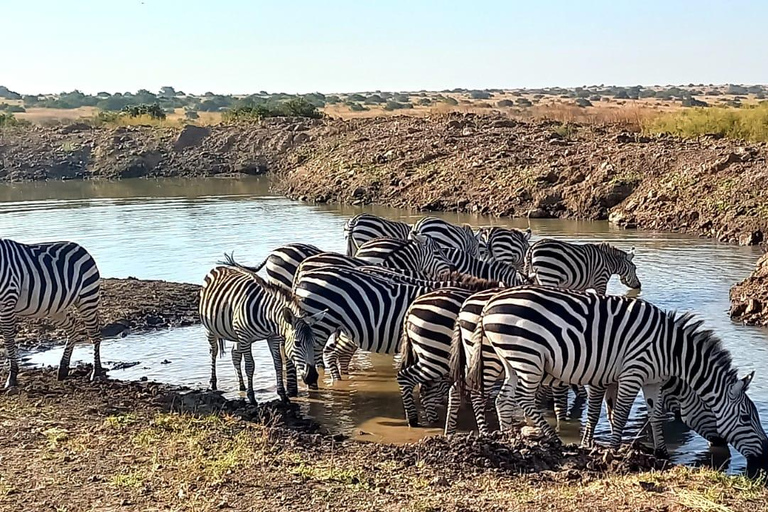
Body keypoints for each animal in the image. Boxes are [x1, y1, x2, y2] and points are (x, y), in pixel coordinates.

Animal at [0, 238, 103, 386]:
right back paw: (63, 369)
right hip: (54, 308)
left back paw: (96, 372)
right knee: (73, 328)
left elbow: (8, 339)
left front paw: (12, 377)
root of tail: (79, 247)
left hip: (87, 298)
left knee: (94, 334)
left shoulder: (7, 301)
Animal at [200, 258, 322, 402]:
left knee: (235, 354)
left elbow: (278, 363)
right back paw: (213, 384)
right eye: (297, 343)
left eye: (313, 343)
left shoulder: (272, 337)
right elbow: (250, 366)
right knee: (213, 352)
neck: (267, 315)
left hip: (236, 334)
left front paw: (282, 395)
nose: (312, 377)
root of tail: (219, 268)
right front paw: (251, 397)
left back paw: (241, 386)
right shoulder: (245, 337)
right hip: (210, 328)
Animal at [476, 286, 764, 474]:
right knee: (523, 398)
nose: (763, 457)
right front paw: (614, 451)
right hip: (528, 357)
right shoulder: (632, 372)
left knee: (503, 398)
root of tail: (490, 304)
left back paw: (507, 438)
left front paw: (661, 452)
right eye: (746, 418)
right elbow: (622, 413)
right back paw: (552, 438)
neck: (672, 352)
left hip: (511, 359)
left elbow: (654, 415)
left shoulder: (652, 381)